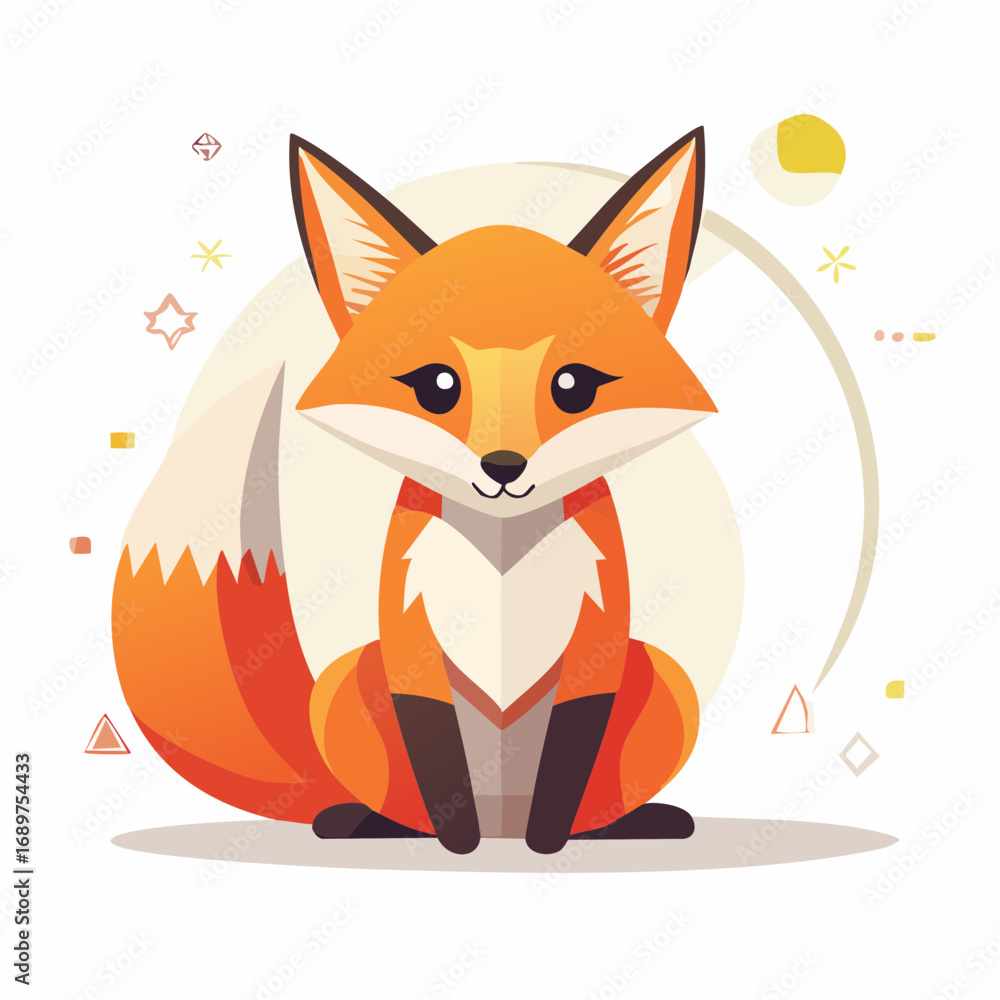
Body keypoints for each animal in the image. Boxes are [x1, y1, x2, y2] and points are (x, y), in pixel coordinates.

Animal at [113, 127, 718, 856]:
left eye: (574, 386)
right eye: (437, 386)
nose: (503, 467)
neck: (502, 554)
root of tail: (504, 810)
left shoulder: (597, 642)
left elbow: (569, 762)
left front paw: (548, 844)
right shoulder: (409, 638)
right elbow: (436, 758)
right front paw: (459, 844)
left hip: (665, 677)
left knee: (594, 804)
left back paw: (624, 826)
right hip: (346, 683)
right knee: (399, 805)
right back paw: (367, 823)